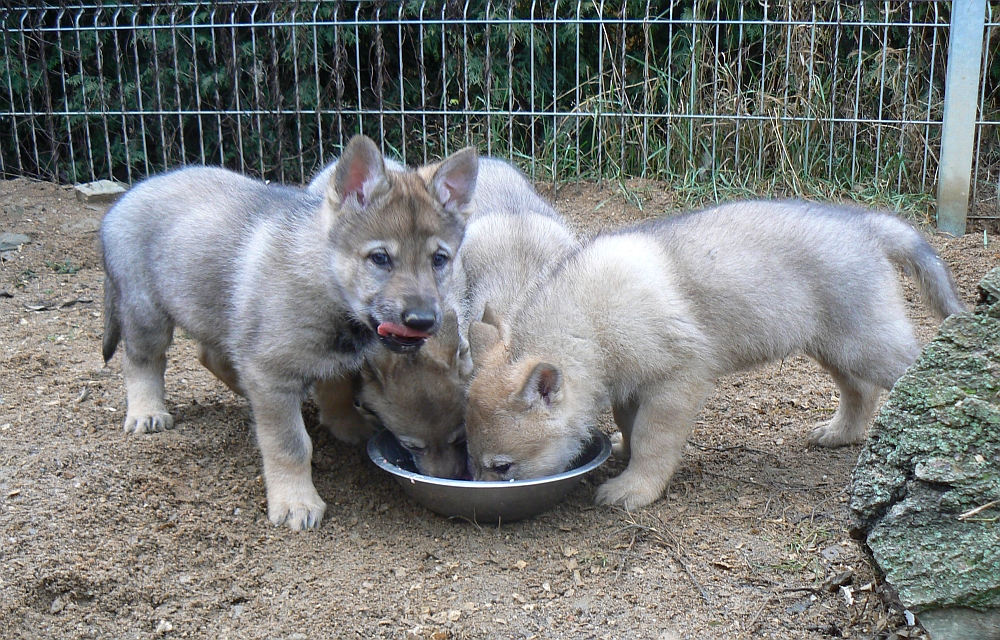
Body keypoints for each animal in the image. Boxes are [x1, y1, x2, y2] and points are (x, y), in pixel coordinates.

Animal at [101, 135, 476, 528]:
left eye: (439, 259)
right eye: (380, 258)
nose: (422, 320)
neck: (324, 278)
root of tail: (127, 197)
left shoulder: (330, 356)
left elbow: (336, 390)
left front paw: (346, 425)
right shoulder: (270, 371)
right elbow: (290, 444)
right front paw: (296, 501)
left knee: (211, 355)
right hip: (147, 313)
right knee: (142, 360)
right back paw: (146, 411)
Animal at [464, 200, 964, 510]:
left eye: (502, 467)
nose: (479, 496)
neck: (587, 322)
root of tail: (865, 224)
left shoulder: (677, 382)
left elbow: (653, 439)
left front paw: (635, 488)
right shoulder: (632, 384)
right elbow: (630, 425)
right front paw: (625, 453)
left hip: (869, 342)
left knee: (915, 369)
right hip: (834, 345)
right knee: (861, 392)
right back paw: (842, 433)